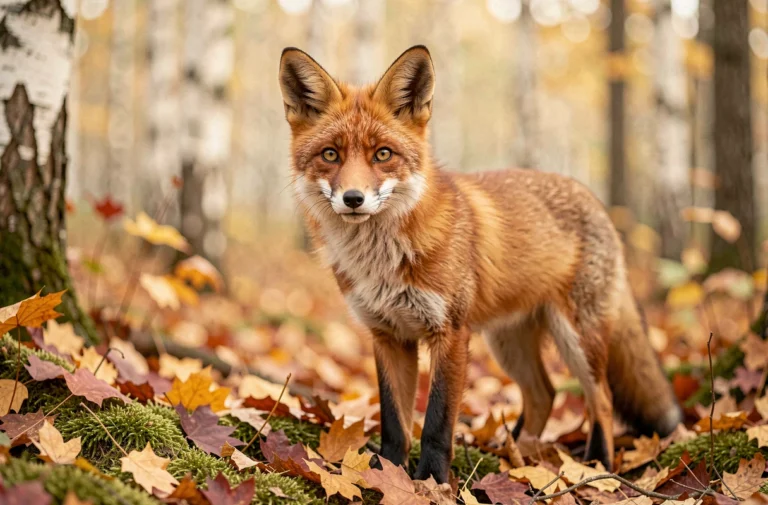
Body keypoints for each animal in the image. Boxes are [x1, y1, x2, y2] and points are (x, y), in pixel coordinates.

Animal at [278, 45, 683, 483]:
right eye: (330, 155)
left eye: (382, 154)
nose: (353, 199)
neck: (381, 261)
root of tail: (596, 201)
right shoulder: (388, 335)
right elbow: (394, 421)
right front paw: (389, 470)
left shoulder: (451, 333)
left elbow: (437, 421)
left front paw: (431, 480)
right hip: (508, 343)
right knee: (544, 395)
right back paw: (519, 457)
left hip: (577, 338)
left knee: (602, 399)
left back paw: (598, 465)